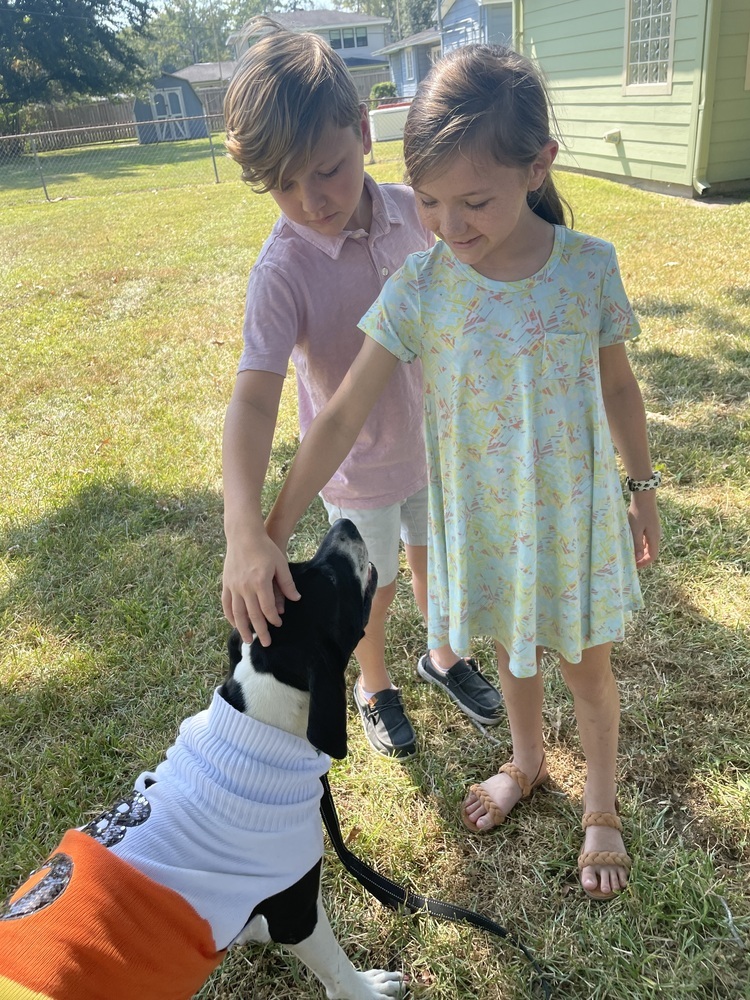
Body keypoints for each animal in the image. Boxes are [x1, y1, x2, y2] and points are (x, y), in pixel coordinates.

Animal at [0, 520, 406, 996]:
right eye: (329, 579)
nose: (344, 524)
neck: (260, 726)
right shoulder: (297, 912)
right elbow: (338, 970)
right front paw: (368, 989)